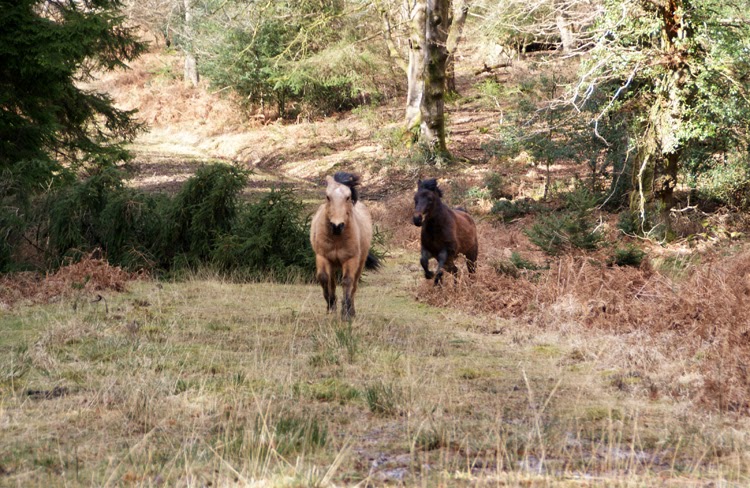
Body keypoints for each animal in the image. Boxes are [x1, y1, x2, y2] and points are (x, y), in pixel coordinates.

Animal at [310, 172, 380, 320]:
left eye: (348, 197)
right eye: (327, 196)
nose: (337, 226)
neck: (337, 238)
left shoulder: (351, 259)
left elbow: (347, 282)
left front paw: (346, 313)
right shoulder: (322, 257)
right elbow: (324, 278)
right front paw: (331, 305)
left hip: (360, 263)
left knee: (354, 285)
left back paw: (351, 310)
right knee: (332, 282)